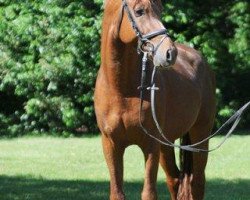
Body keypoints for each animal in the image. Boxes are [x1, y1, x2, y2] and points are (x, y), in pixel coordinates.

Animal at [94, 0, 216, 200]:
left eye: (160, 11)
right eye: (139, 12)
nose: (170, 52)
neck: (122, 90)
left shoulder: (150, 145)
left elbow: (149, 192)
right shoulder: (111, 145)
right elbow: (117, 192)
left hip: (200, 136)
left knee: (197, 182)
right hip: (166, 144)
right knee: (175, 180)